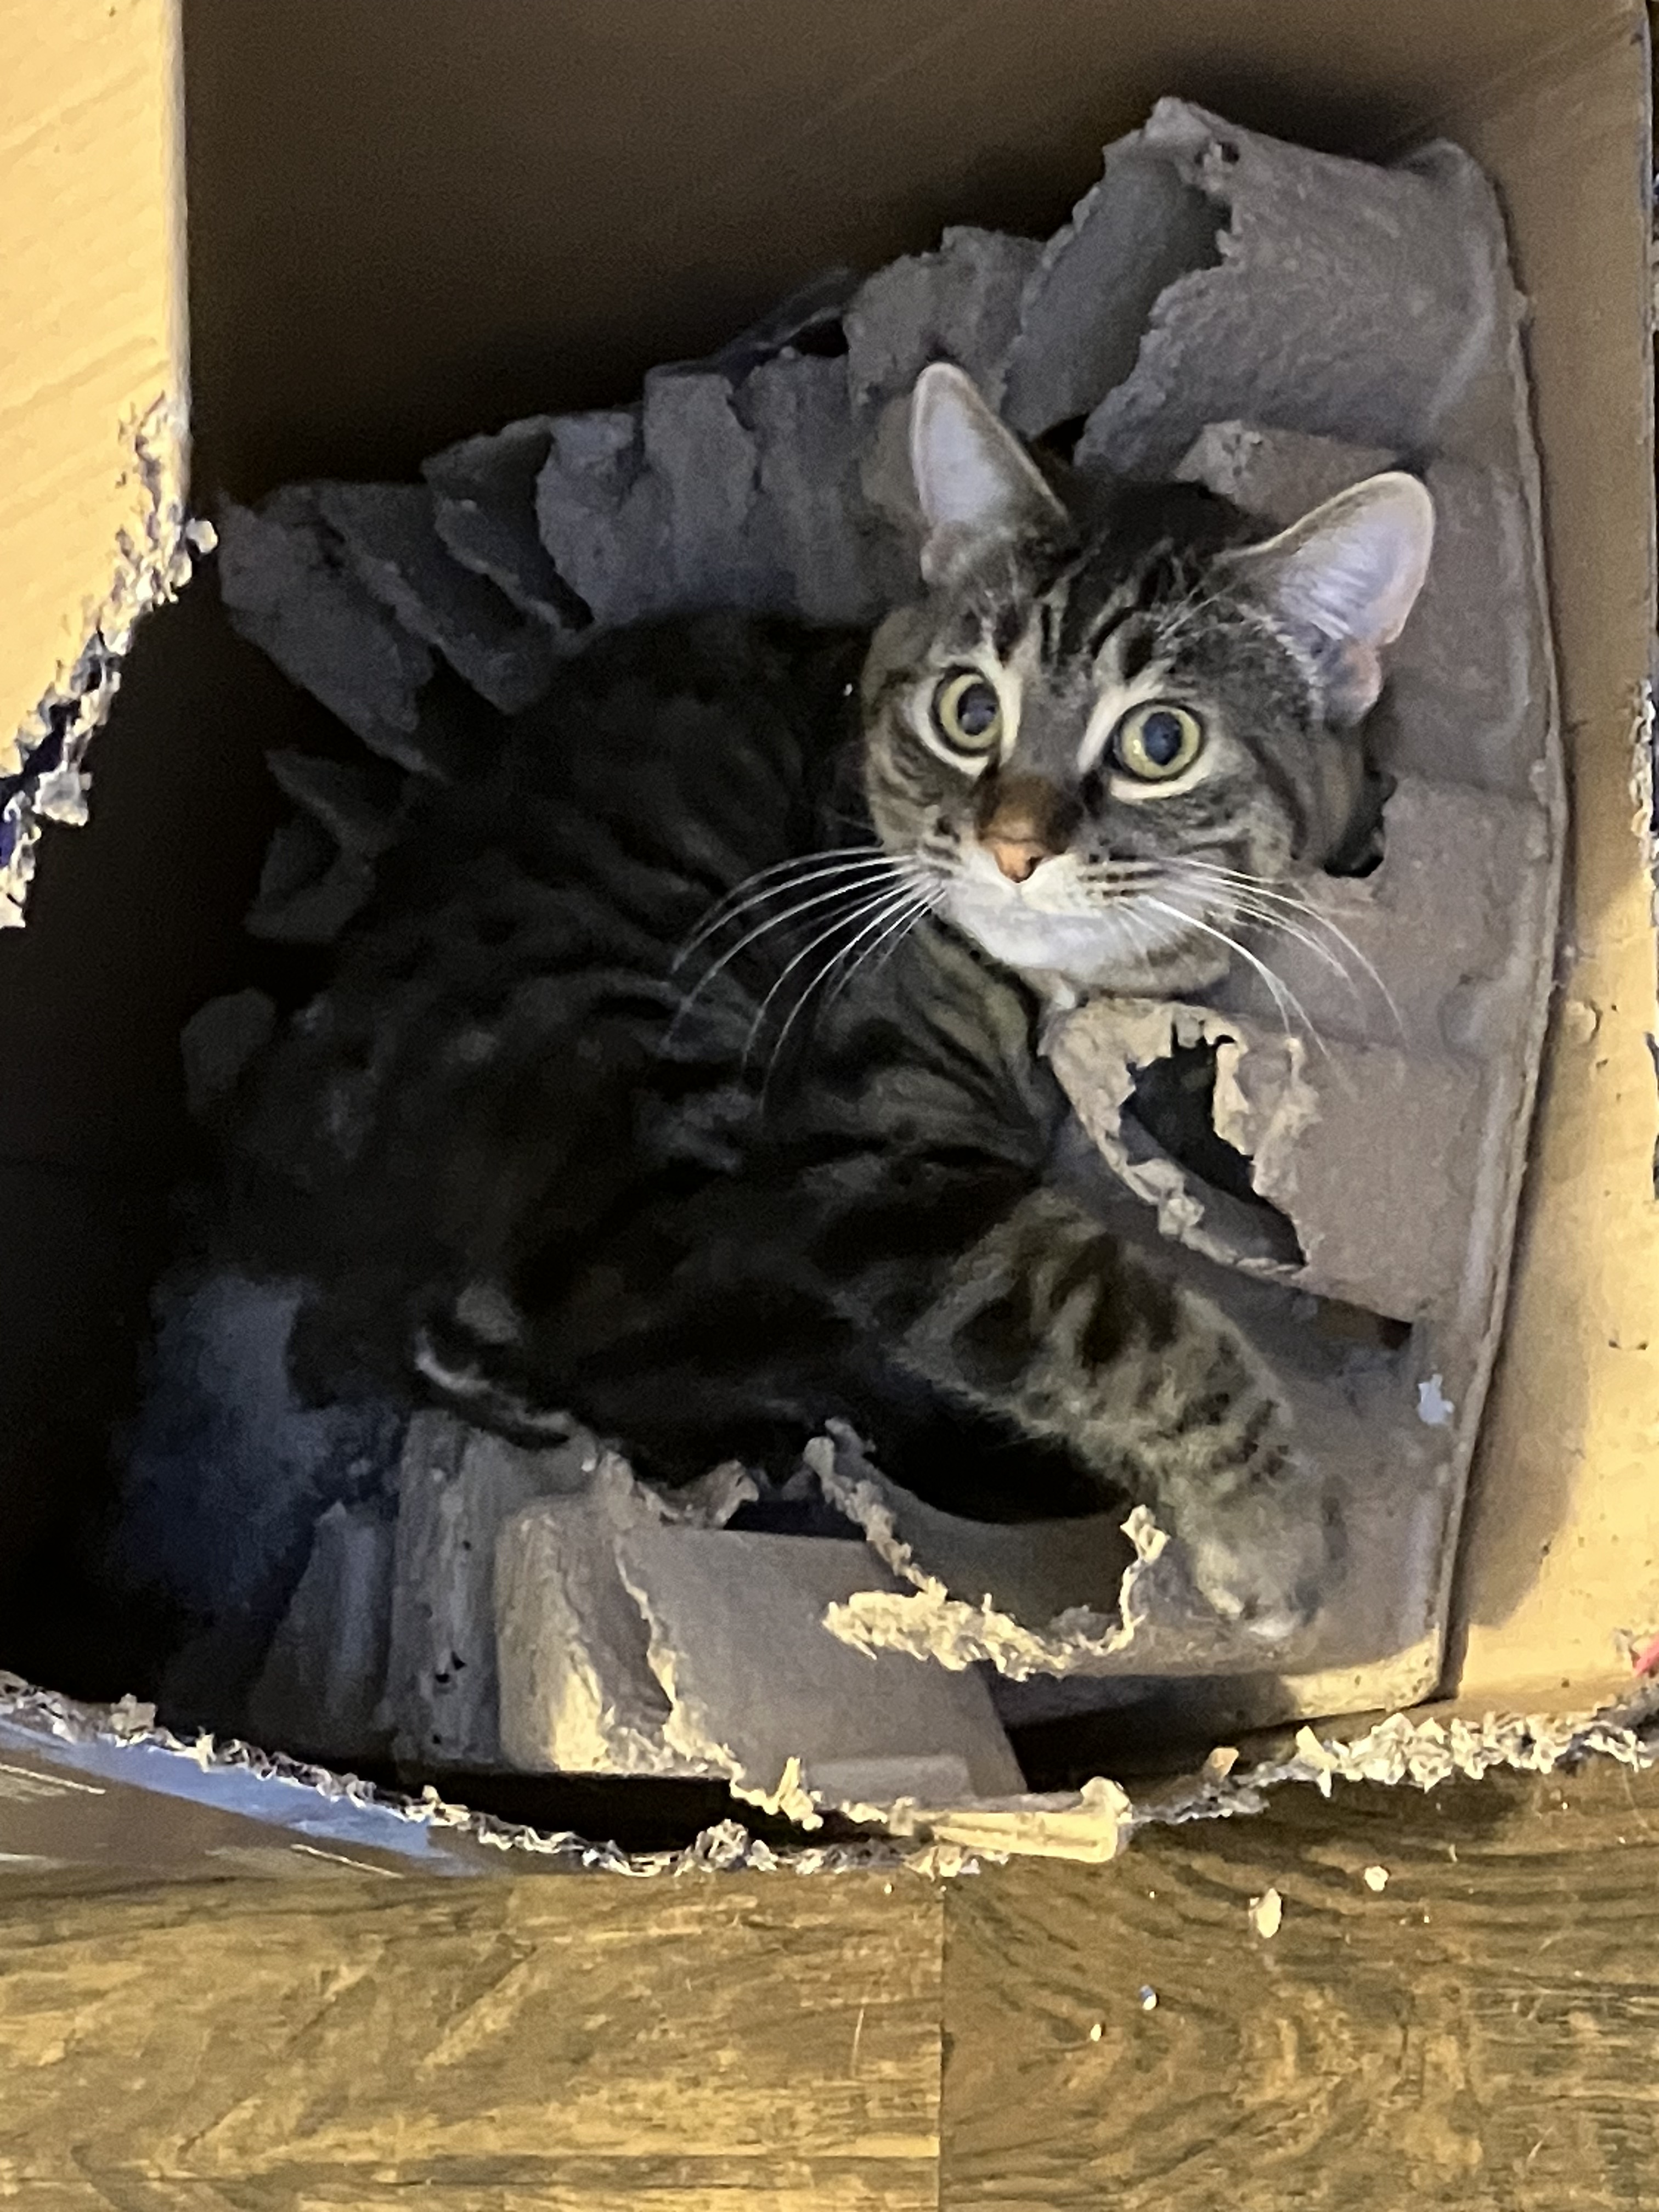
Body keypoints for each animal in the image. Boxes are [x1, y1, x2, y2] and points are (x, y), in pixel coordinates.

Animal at [206, 363, 1433, 1641]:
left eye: (1160, 740)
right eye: (969, 711)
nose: (1011, 847)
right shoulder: (868, 1155)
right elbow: (1110, 1305)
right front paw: (1263, 1520)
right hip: (645, 1044)